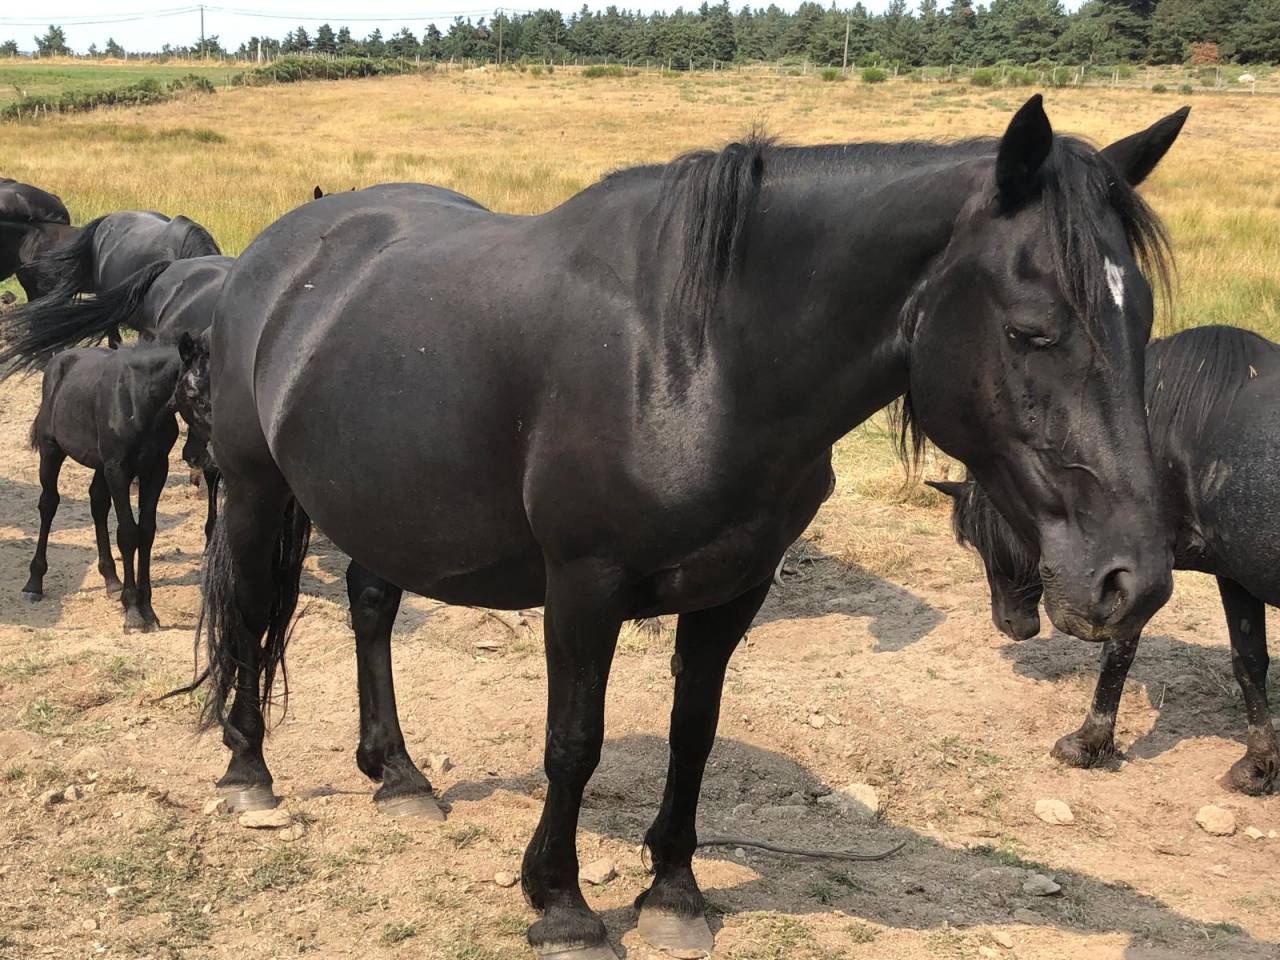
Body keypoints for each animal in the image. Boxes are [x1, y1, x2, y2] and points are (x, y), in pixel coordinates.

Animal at [23, 341, 207, 631]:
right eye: (192, 391)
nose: (197, 455)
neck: (140, 402)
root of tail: (57, 361)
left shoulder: (155, 470)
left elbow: (146, 532)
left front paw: (148, 610)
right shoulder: (118, 469)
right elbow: (129, 533)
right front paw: (133, 611)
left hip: (100, 466)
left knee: (97, 503)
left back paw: (111, 580)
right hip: (51, 450)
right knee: (48, 504)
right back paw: (34, 583)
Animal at [194, 97, 1186, 960]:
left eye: (1140, 319)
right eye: (1031, 331)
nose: (1132, 582)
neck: (696, 356)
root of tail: (280, 251)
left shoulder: (734, 588)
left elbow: (693, 733)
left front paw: (672, 893)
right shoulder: (582, 586)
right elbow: (574, 743)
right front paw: (561, 905)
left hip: (383, 502)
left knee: (369, 607)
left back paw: (396, 774)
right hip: (253, 490)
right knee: (248, 614)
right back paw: (249, 774)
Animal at [931, 324, 1280, 795]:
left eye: (984, 538)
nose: (1009, 625)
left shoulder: (1131, 582)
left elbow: (1117, 652)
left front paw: (1089, 741)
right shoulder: (1234, 578)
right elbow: (1250, 662)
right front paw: (1257, 765)